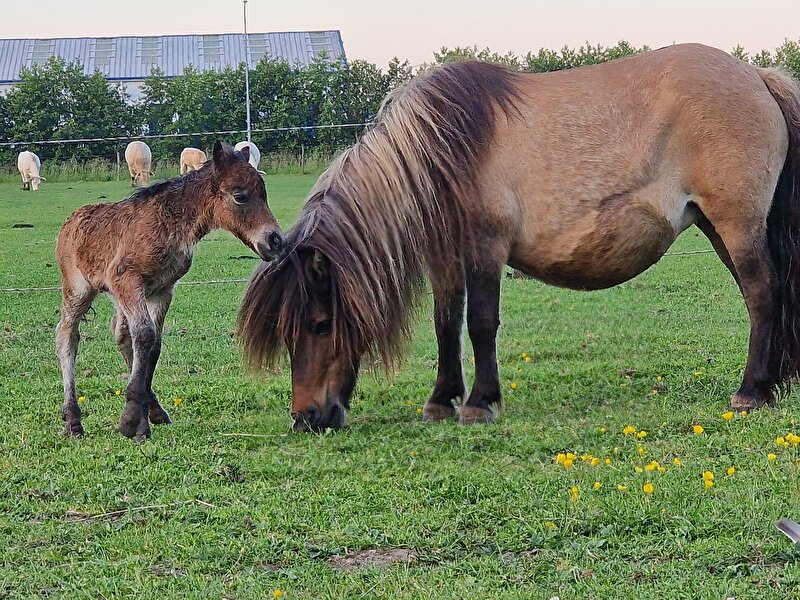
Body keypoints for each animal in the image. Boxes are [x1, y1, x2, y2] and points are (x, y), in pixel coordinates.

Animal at [56, 141, 285, 441]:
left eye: (264, 194)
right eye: (240, 196)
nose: (276, 241)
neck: (168, 223)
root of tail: (70, 222)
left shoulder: (161, 290)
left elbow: (153, 344)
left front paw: (142, 419)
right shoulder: (127, 280)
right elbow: (144, 336)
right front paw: (131, 421)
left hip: (119, 297)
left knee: (120, 333)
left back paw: (153, 409)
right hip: (79, 289)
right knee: (67, 336)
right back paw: (73, 420)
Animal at [237, 43, 800, 432]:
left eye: (320, 324)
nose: (307, 417)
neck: (446, 147)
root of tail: (757, 76)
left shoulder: (486, 246)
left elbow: (481, 323)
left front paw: (480, 403)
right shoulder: (445, 255)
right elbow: (446, 323)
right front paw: (441, 400)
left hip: (736, 223)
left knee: (761, 296)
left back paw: (751, 392)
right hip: (718, 227)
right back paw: (774, 384)